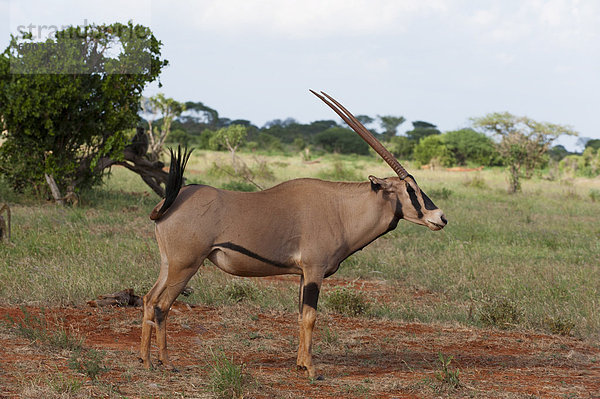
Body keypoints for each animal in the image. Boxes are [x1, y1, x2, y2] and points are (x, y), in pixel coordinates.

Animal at [141, 90, 448, 378]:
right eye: (409, 189)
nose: (440, 218)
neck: (341, 209)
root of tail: (169, 203)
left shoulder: (303, 274)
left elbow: (301, 316)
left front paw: (300, 364)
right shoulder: (314, 270)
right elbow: (311, 317)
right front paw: (312, 369)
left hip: (169, 265)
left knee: (148, 299)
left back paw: (146, 360)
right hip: (185, 266)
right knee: (162, 305)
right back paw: (166, 362)